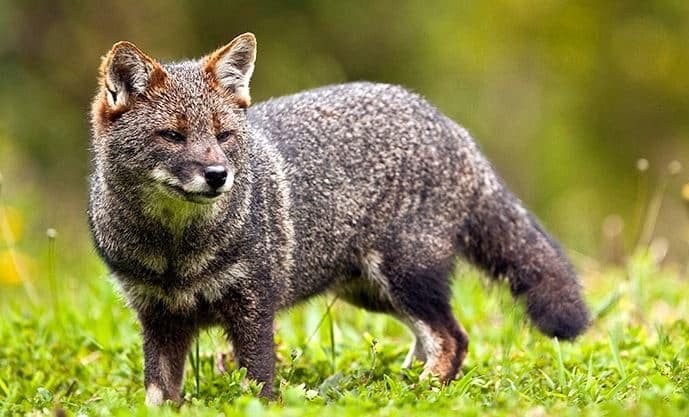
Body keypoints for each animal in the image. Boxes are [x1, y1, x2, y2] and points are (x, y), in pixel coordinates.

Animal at [88, 32, 589, 405]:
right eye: (172, 136)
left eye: (223, 135)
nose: (217, 175)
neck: (175, 255)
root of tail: (449, 124)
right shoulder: (158, 317)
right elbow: (158, 396)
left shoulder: (253, 308)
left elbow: (258, 386)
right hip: (372, 292)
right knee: (430, 338)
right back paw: (397, 385)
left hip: (405, 276)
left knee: (453, 338)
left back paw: (419, 394)